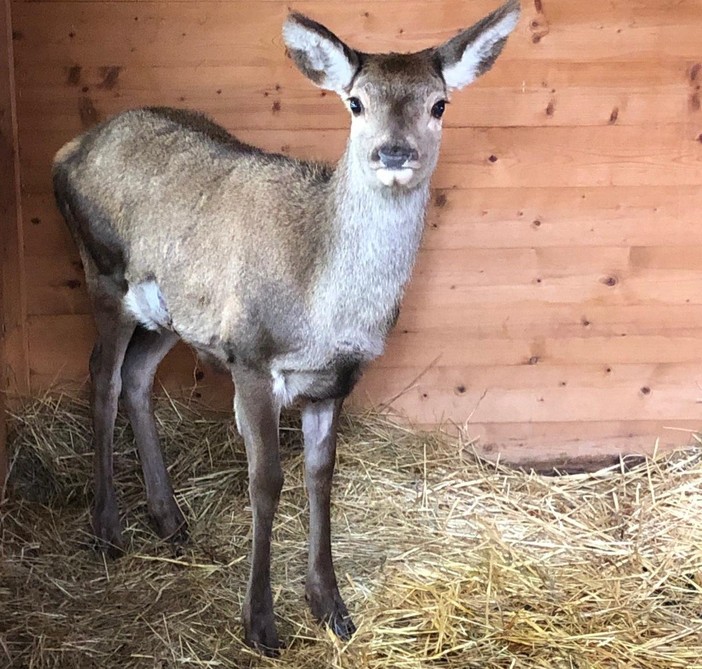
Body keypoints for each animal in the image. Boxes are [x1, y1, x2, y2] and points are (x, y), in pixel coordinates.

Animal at [52, 0, 520, 654]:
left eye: (439, 103)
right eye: (356, 102)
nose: (393, 153)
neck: (324, 311)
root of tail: (68, 151)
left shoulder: (335, 380)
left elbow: (321, 477)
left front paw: (332, 607)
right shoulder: (249, 354)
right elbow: (267, 480)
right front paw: (261, 623)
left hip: (169, 312)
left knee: (139, 376)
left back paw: (169, 521)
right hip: (104, 272)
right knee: (102, 375)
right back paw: (108, 529)